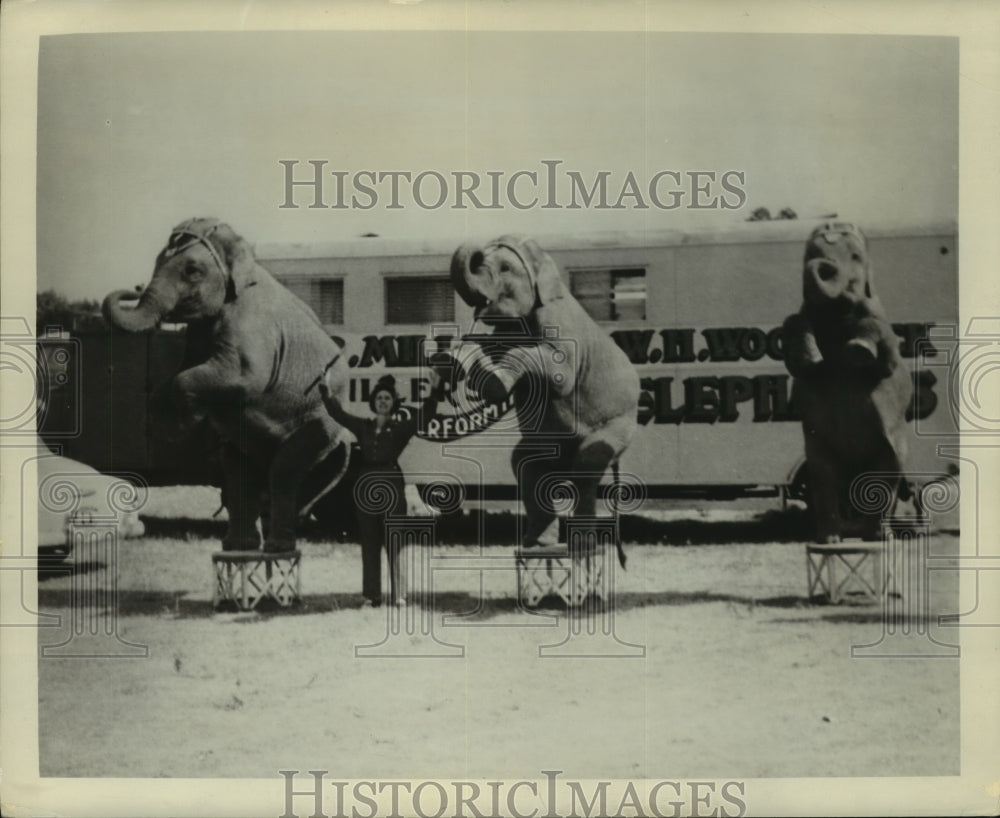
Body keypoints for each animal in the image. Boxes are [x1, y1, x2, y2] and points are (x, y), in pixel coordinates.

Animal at [102, 217, 352, 552]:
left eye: (192, 270)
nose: (135, 287)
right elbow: (180, 372)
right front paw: (166, 423)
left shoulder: (251, 326)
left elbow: (241, 376)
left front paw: (184, 425)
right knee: (240, 470)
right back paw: (242, 545)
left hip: (320, 422)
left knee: (283, 470)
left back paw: (276, 546)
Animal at [446, 233, 640, 556]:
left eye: (506, 268)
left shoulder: (558, 320)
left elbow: (560, 374)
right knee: (526, 466)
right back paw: (537, 544)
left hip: (621, 423)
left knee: (586, 465)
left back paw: (583, 547)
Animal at [780, 223, 916, 540]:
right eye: (809, 254)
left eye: (856, 256)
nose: (823, 264)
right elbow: (796, 332)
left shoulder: (877, 315)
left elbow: (887, 358)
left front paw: (858, 350)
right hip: (818, 448)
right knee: (823, 476)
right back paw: (831, 537)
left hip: (894, 448)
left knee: (887, 474)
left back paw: (878, 535)